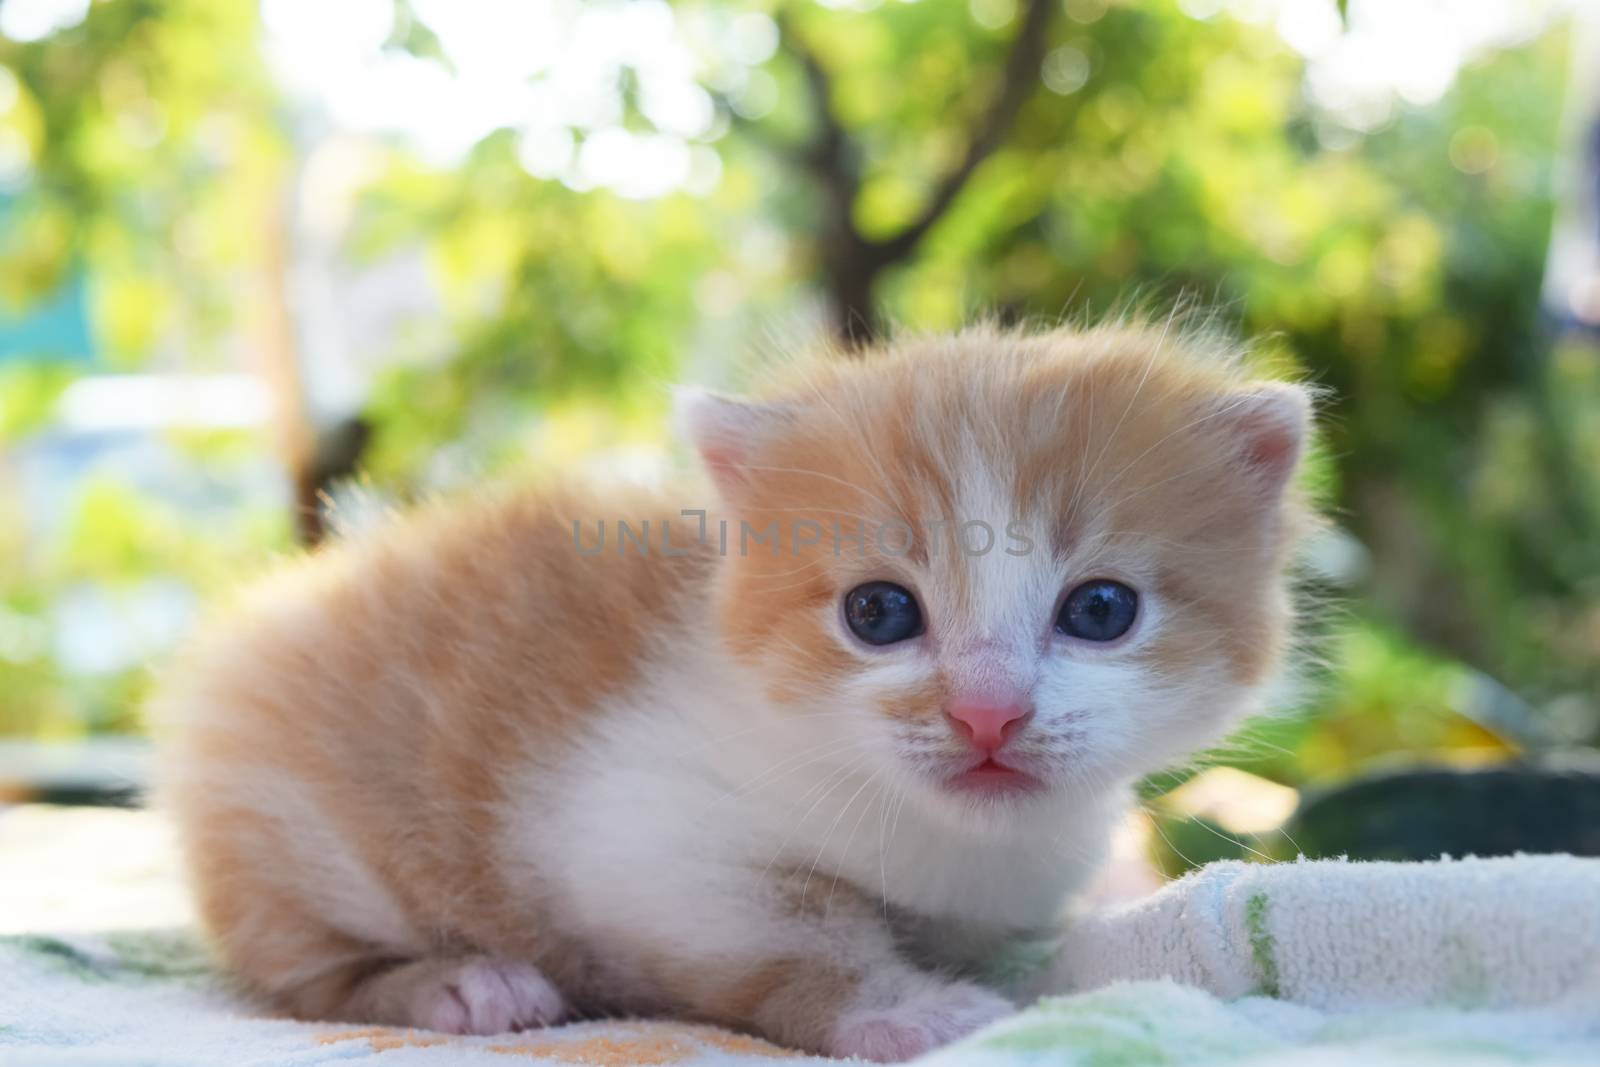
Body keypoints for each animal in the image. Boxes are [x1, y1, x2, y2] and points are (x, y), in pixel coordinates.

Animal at [159, 326, 1312, 1062]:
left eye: (1102, 608)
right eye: (879, 613)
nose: (987, 712)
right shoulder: (642, 833)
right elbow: (791, 935)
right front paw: (915, 1013)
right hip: (290, 829)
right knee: (300, 973)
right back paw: (461, 981)